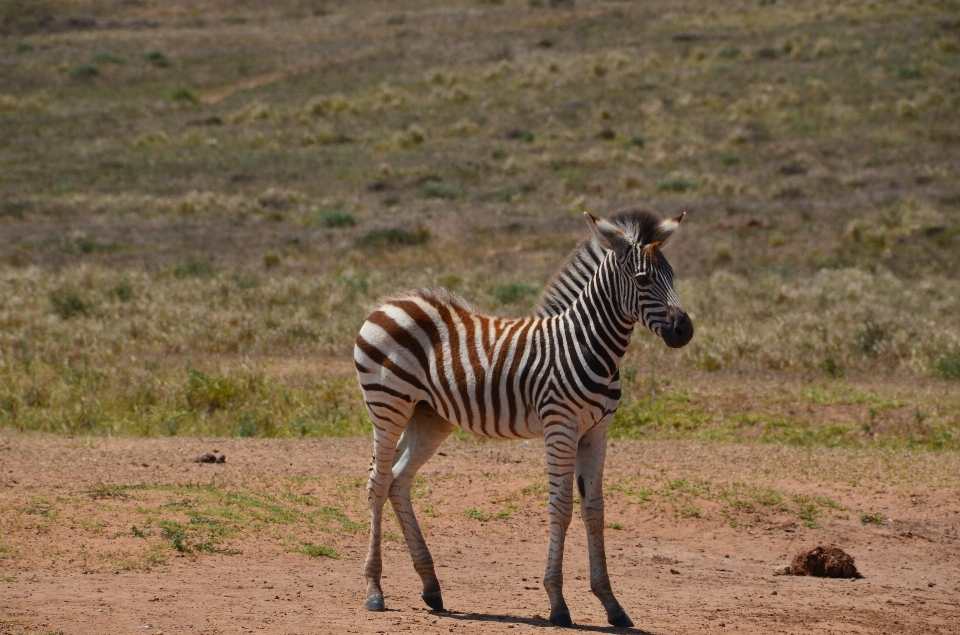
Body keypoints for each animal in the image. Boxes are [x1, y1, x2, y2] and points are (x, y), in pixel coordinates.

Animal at [352, 207, 688, 628]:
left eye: (673, 275)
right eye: (643, 280)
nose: (685, 330)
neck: (587, 345)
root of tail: (390, 302)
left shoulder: (596, 433)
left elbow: (594, 511)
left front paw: (612, 604)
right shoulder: (560, 428)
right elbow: (561, 508)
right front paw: (558, 603)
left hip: (429, 416)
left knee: (398, 481)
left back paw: (431, 587)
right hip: (388, 404)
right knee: (378, 483)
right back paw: (374, 590)